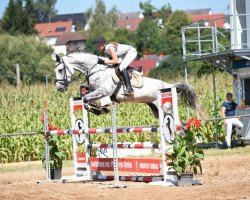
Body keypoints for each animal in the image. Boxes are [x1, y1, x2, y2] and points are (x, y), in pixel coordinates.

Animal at [51, 50, 199, 118]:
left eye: (60, 70)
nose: (59, 88)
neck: (95, 69)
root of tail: (171, 86)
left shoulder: (103, 91)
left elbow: (86, 99)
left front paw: (100, 109)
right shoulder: (96, 91)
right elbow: (86, 98)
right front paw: (99, 108)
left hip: (167, 109)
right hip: (156, 110)